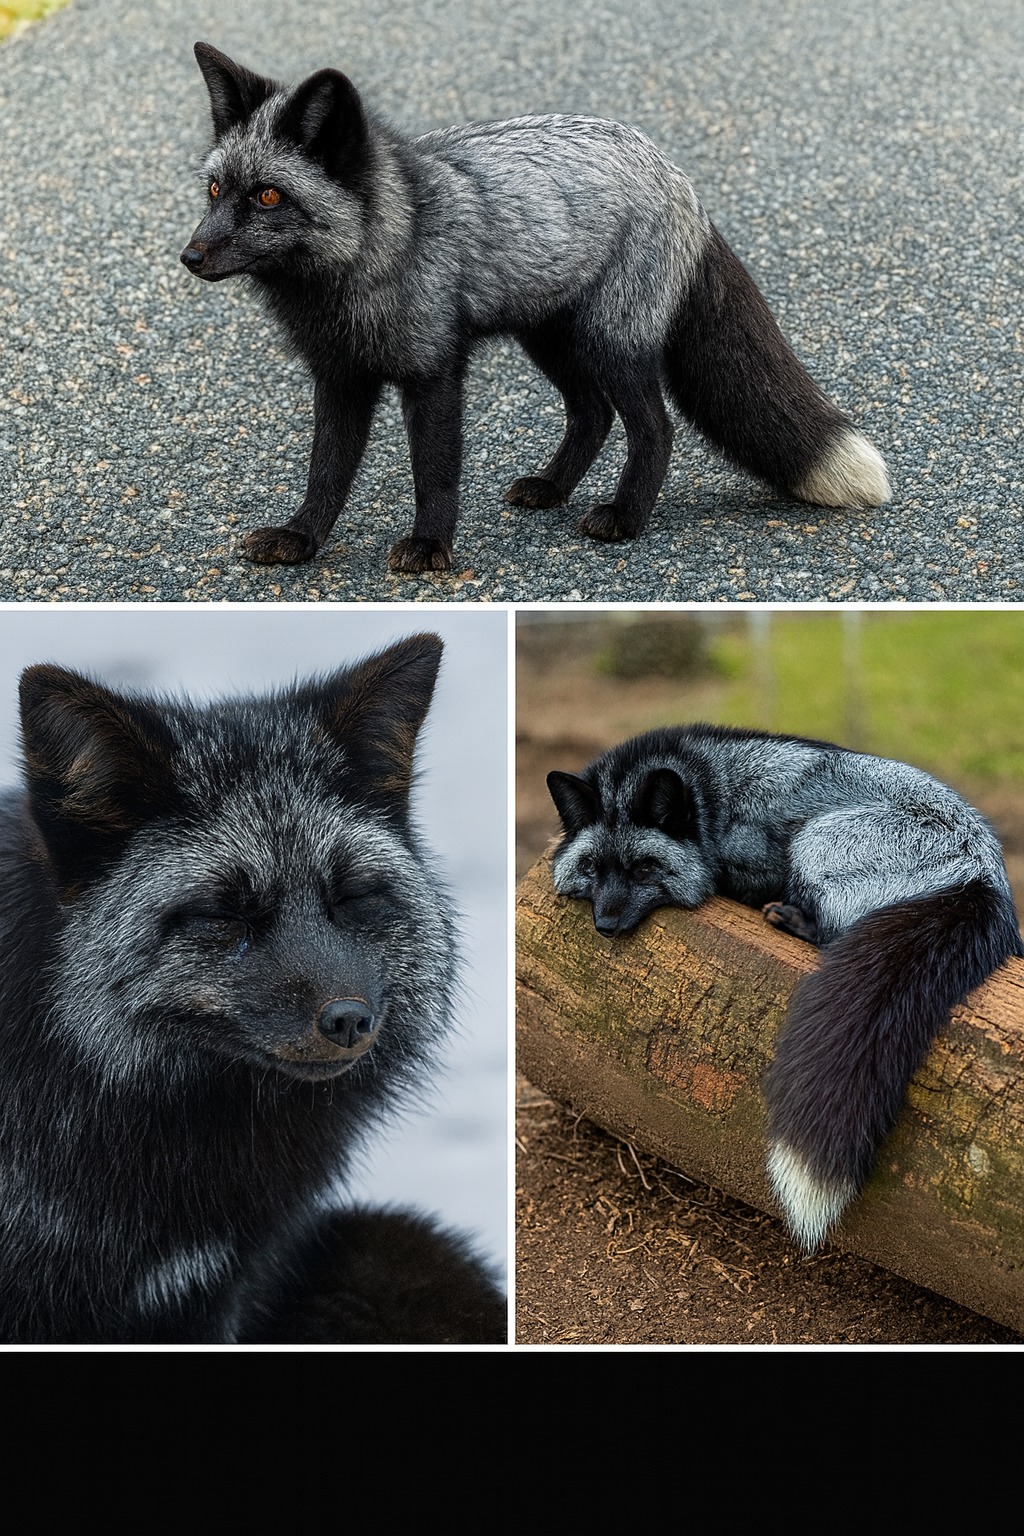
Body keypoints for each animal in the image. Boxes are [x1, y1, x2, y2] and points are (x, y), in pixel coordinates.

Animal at [181, 42, 891, 578]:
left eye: (268, 196)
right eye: (215, 190)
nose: (190, 256)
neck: (372, 260)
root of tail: (675, 175)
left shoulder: (434, 373)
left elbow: (434, 473)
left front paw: (431, 546)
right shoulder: (341, 378)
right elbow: (325, 473)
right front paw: (301, 540)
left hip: (612, 343)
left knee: (654, 428)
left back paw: (625, 519)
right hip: (550, 341)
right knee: (593, 414)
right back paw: (552, 489)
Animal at [546, 723, 1023, 1253]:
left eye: (645, 868)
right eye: (593, 868)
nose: (606, 925)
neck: (713, 794)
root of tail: (982, 883)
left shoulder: (759, 858)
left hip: (817, 839)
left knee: (835, 931)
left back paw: (790, 918)